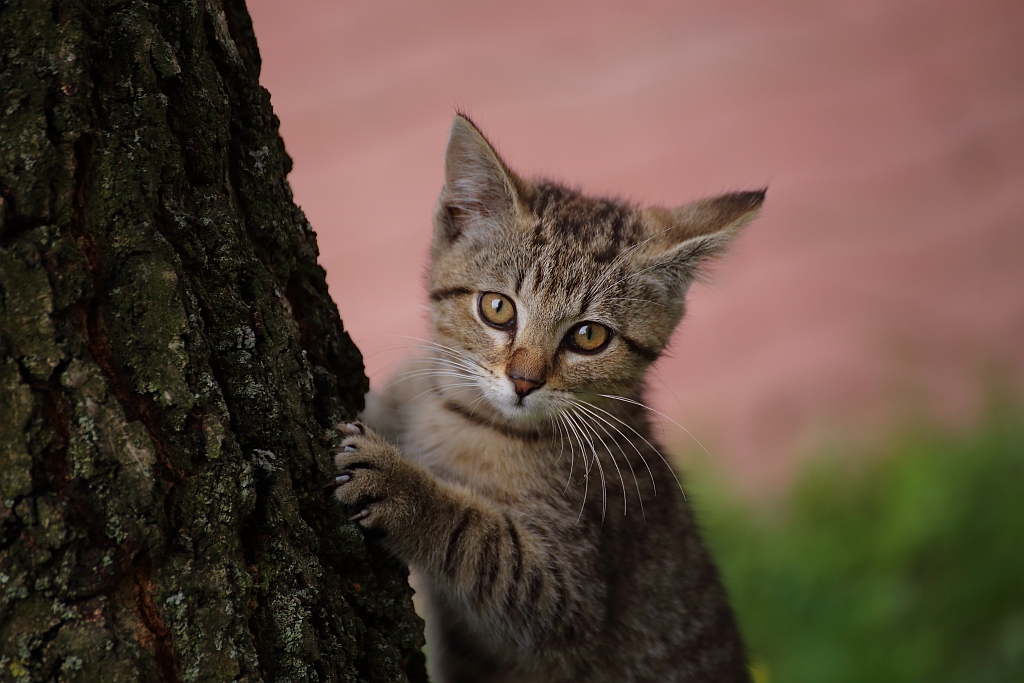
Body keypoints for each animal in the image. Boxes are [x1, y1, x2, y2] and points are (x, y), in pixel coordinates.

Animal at [331, 114, 765, 679]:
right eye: (497, 308)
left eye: (589, 336)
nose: (523, 380)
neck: (461, 414)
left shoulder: (570, 592)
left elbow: (479, 540)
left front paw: (402, 488)